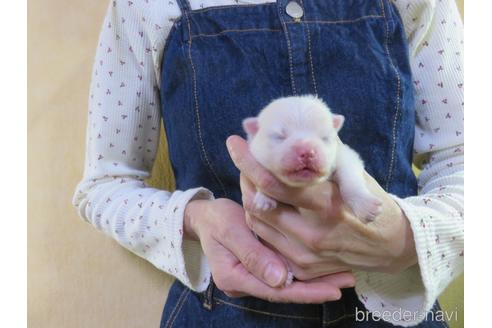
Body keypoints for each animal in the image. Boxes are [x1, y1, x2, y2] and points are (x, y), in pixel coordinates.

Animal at [244, 95, 382, 223]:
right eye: (280, 136)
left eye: (324, 137)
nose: (307, 152)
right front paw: (264, 198)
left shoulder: (345, 156)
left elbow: (350, 179)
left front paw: (365, 206)